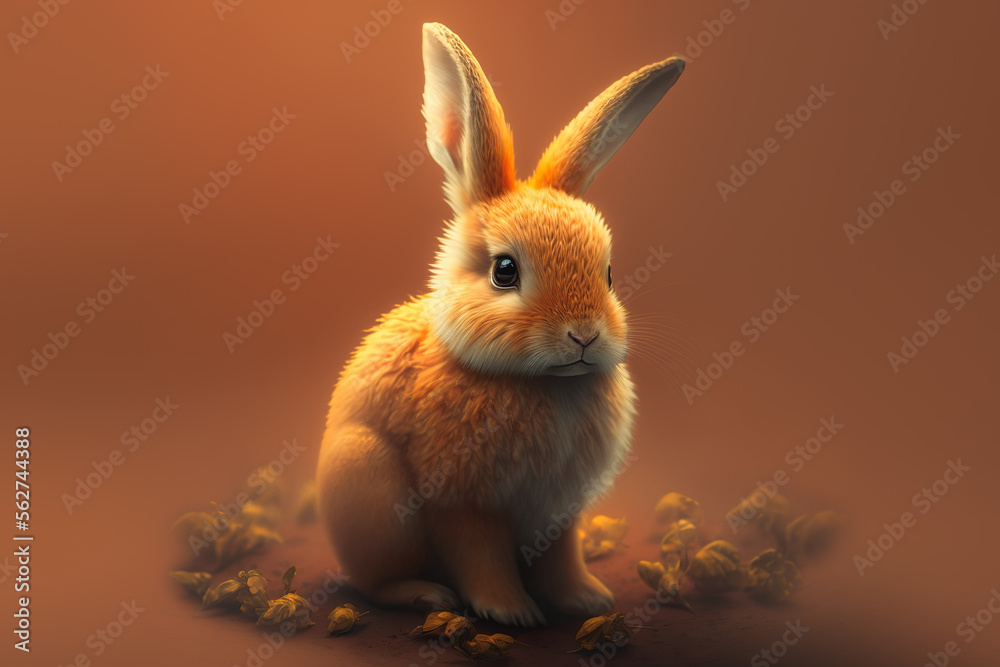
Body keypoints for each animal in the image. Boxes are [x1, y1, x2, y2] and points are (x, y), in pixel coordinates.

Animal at [316, 21, 685, 627]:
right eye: (504, 271)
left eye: (608, 273)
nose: (584, 335)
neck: (547, 386)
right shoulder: (464, 503)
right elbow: (480, 555)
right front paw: (512, 613)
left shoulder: (558, 509)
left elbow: (561, 557)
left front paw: (586, 600)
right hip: (367, 481)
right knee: (374, 581)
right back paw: (424, 595)